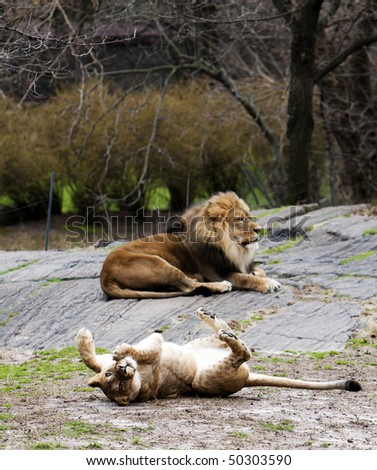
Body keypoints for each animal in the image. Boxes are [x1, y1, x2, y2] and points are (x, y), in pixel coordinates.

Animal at [100, 190, 280, 298]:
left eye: (249, 217)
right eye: (240, 219)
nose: (259, 230)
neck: (232, 248)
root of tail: (104, 276)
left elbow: (259, 270)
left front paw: (256, 272)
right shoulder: (217, 272)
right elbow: (245, 278)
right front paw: (268, 283)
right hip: (159, 263)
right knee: (189, 285)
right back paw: (220, 286)